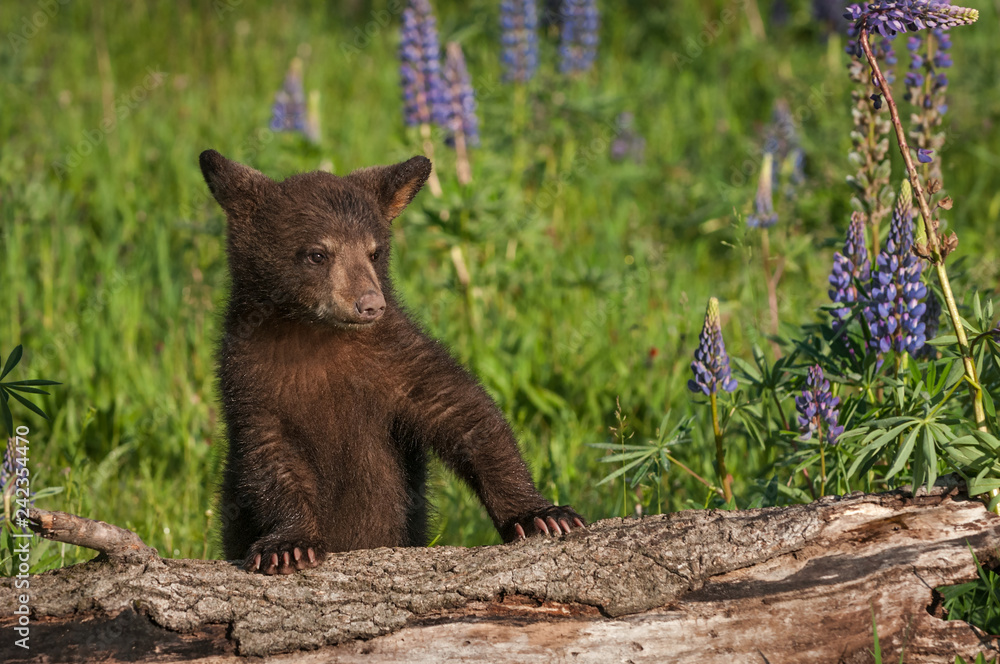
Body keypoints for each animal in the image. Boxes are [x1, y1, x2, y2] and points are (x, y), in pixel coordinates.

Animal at [199, 150, 585, 574]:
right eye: (317, 254)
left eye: (374, 252)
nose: (370, 304)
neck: (316, 334)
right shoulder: (250, 379)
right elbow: (268, 457)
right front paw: (289, 545)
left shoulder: (397, 358)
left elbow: (466, 413)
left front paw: (540, 514)